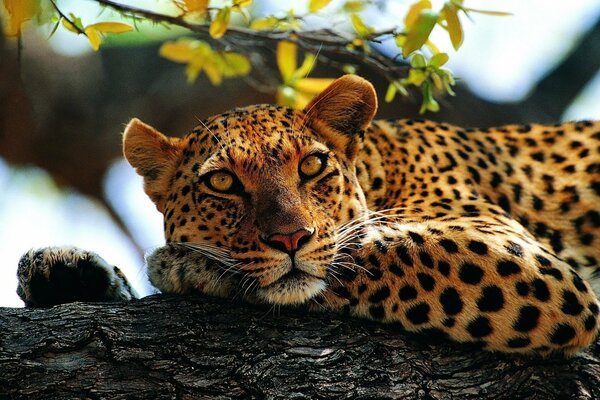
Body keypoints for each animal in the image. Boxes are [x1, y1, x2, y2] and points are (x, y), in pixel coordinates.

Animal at [16, 75, 600, 356]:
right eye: (222, 183)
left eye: (313, 165)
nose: (291, 238)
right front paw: (67, 272)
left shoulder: (525, 261)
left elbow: (369, 252)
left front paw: (184, 264)